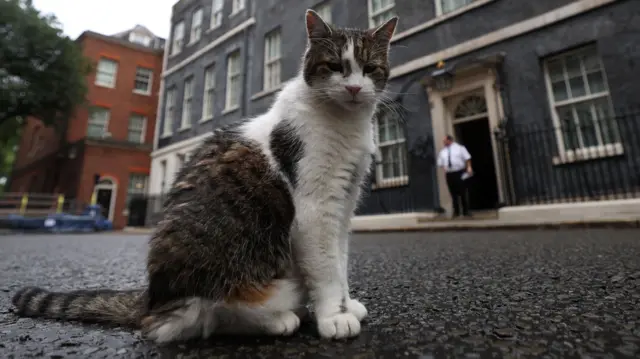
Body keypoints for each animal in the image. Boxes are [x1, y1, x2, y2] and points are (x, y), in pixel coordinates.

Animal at [11, 9, 396, 344]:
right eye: (335, 66)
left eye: (369, 68)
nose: (354, 89)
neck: (344, 124)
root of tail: (152, 298)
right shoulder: (315, 209)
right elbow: (326, 268)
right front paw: (333, 316)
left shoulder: (342, 204)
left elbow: (340, 261)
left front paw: (347, 305)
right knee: (192, 319)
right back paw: (279, 319)